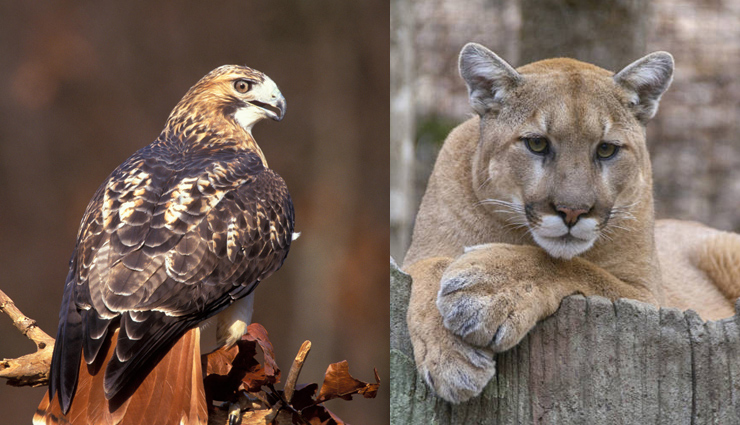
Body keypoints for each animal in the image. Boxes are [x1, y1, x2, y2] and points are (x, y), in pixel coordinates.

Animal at [404, 43, 740, 404]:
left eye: (606, 149)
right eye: (537, 143)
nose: (572, 211)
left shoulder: (647, 294)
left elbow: (577, 269)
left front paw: (487, 289)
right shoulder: (417, 255)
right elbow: (430, 268)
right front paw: (452, 358)